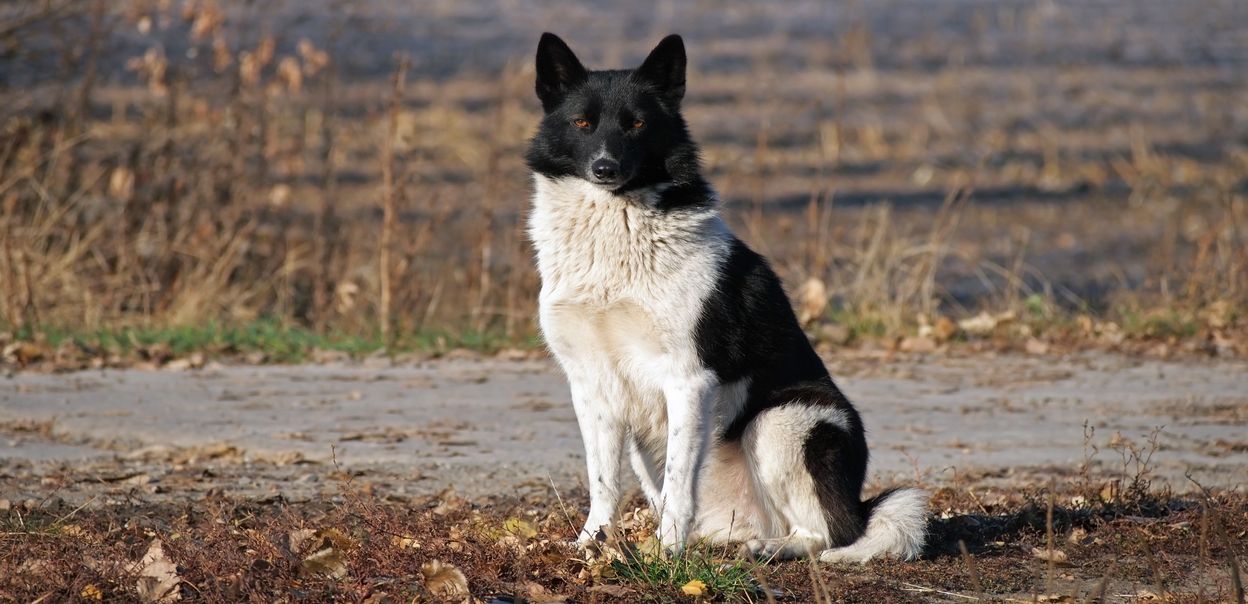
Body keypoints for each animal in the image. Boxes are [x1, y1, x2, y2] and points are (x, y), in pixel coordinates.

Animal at [521, 33, 923, 561]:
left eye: (638, 123)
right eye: (582, 123)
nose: (605, 168)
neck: (617, 227)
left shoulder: (688, 380)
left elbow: (677, 483)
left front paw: (664, 555)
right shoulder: (591, 384)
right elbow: (602, 480)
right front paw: (593, 544)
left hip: (783, 422)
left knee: (827, 534)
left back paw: (766, 548)